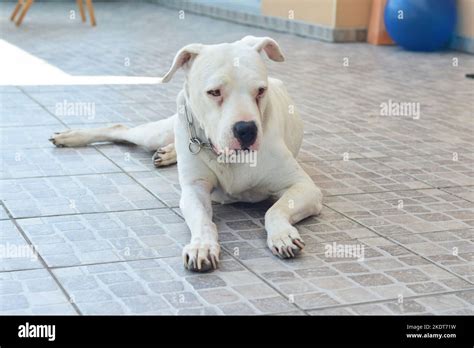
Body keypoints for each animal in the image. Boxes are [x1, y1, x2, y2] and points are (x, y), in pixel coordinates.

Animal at [50, 36, 324, 274]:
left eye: (260, 91)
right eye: (214, 92)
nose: (246, 129)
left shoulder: (304, 187)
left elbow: (275, 210)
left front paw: (282, 234)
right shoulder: (194, 190)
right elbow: (202, 220)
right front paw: (202, 245)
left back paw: (168, 153)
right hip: (158, 132)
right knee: (120, 129)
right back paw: (72, 136)